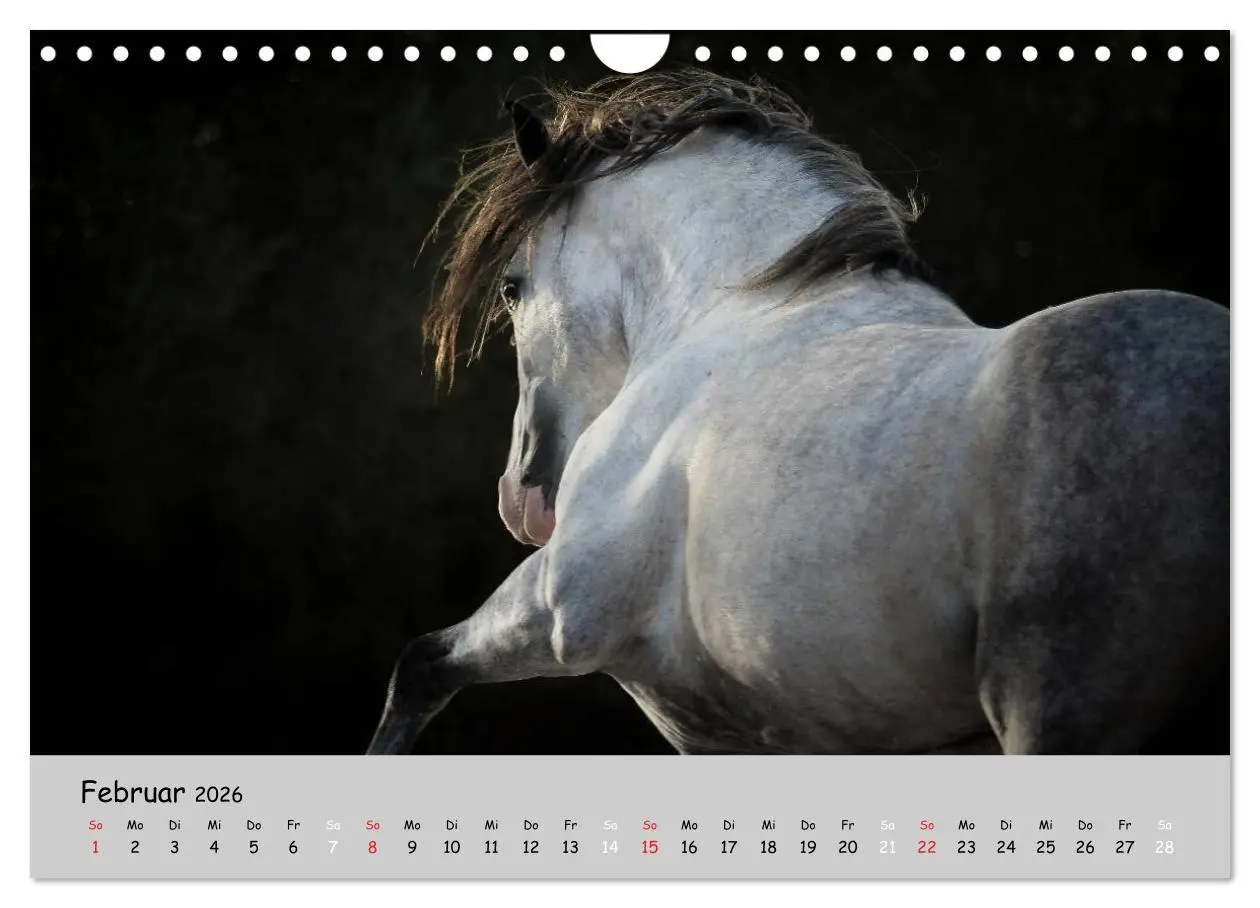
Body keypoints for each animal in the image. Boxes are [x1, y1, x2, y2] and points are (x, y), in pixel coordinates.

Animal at [368, 72, 1229, 756]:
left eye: (513, 287)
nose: (523, 498)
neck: (737, 310)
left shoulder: (562, 607)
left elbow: (420, 667)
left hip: (1054, 710)